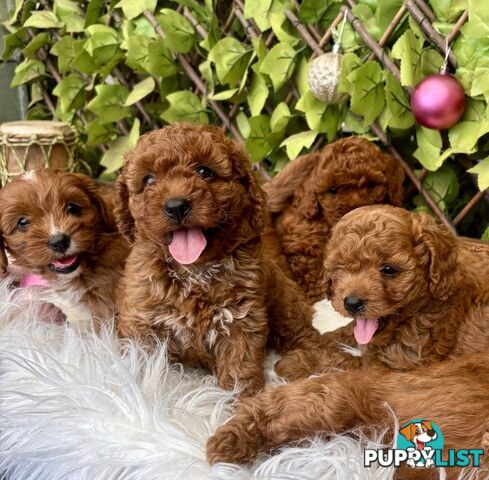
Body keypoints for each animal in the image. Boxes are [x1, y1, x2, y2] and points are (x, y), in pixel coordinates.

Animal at [114, 124, 320, 398]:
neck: (194, 271)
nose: (176, 206)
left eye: (204, 172)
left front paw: (238, 400)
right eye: (148, 180)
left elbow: (239, 366)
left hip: (284, 302)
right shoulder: (142, 321)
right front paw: (144, 392)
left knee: (304, 332)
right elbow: (144, 366)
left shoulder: (241, 319)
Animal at [274, 204, 488, 380]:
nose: (351, 303)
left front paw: (295, 362)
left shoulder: (396, 365)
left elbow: (344, 361)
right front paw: (317, 341)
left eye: (389, 269)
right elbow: (346, 332)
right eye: (340, 267)